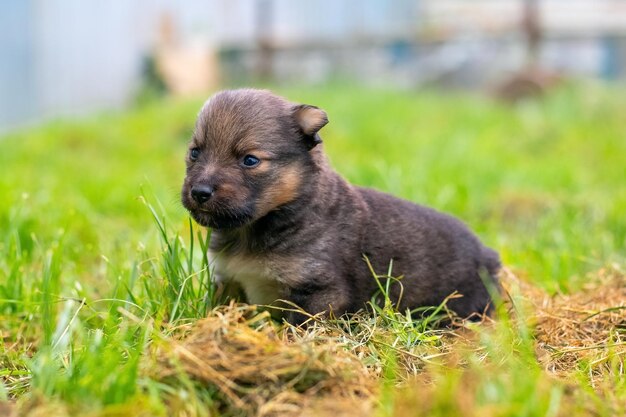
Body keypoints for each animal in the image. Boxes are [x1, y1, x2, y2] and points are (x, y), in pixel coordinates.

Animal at [179, 88, 498, 324]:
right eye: (195, 152)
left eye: (249, 160)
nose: (200, 192)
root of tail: (487, 252)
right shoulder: (229, 282)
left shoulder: (319, 292)